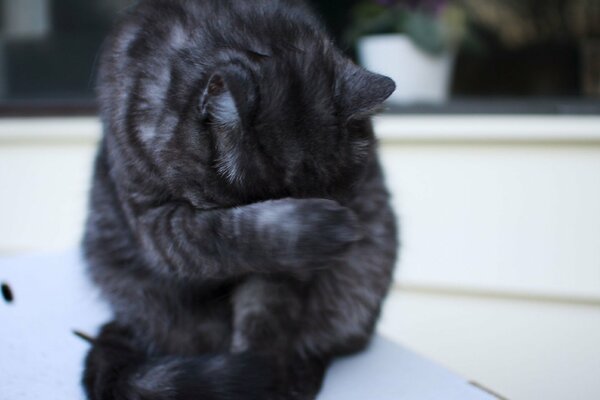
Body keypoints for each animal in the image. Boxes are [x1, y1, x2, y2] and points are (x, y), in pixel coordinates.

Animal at [81, 0, 398, 400]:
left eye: (346, 198)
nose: (307, 274)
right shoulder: (153, 219)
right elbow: (225, 236)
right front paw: (320, 228)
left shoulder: (274, 280)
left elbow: (263, 314)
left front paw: (266, 372)